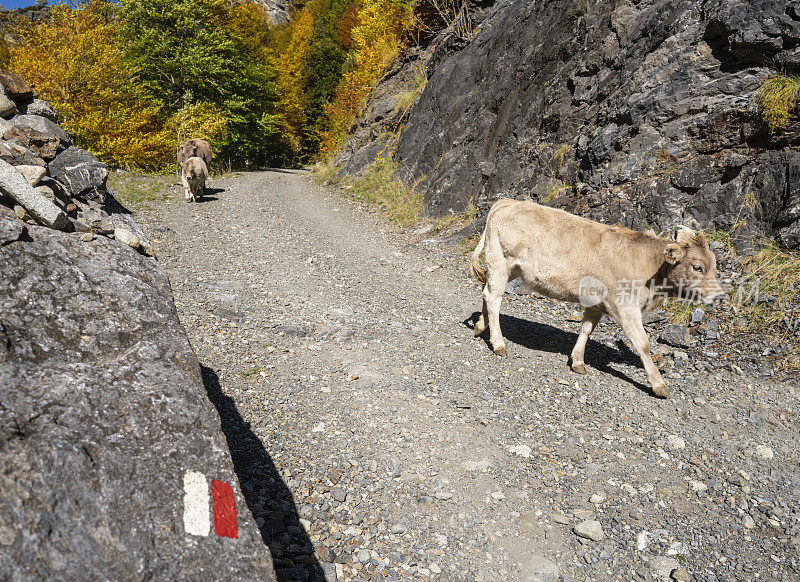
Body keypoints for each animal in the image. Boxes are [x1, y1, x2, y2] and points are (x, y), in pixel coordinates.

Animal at [468, 198, 724, 400]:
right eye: (697, 267)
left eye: (714, 265)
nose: (719, 295)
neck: (650, 268)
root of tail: (507, 202)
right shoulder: (625, 306)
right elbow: (643, 344)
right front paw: (659, 385)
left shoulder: (597, 303)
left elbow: (586, 330)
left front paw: (578, 361)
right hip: (501, 261)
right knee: (493, 298)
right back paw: (498, 343)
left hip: (507, 268)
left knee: (486, 291)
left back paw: (481, 326)